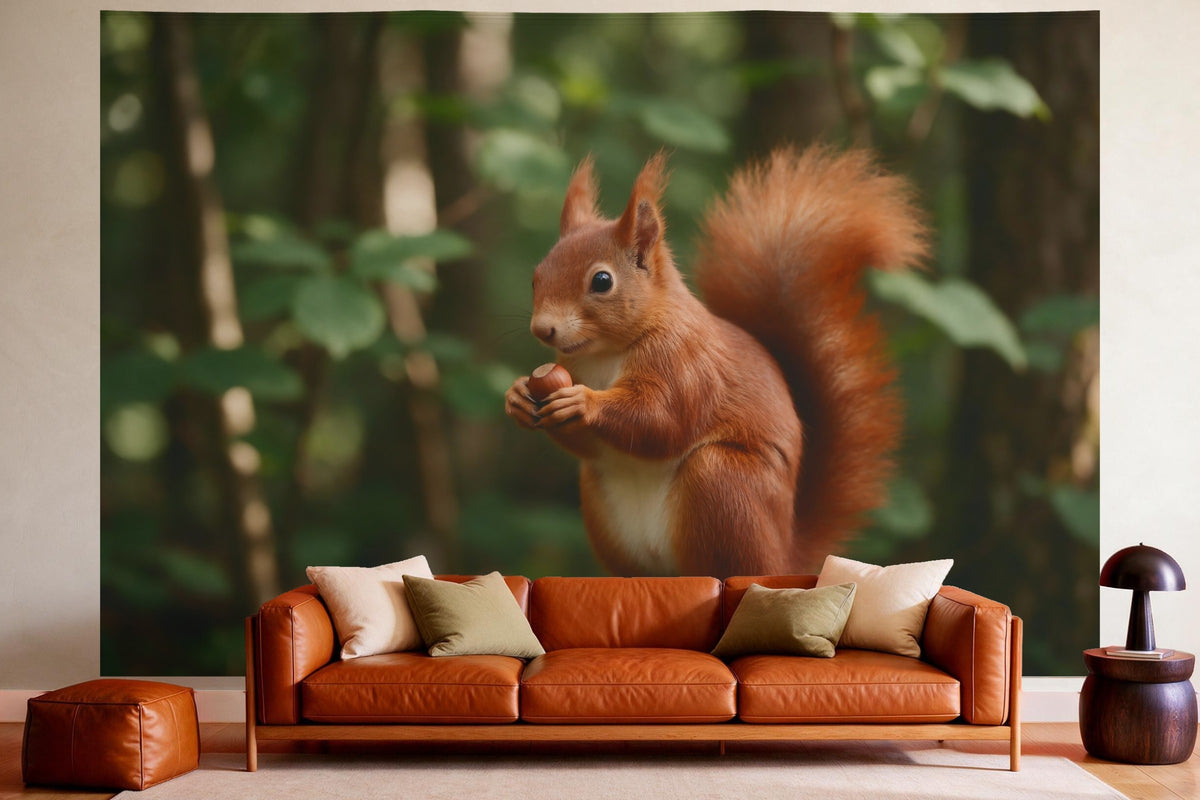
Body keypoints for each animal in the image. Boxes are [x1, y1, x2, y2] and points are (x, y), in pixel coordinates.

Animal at [504, 145, 927, 577]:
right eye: (536, 277)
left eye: (602, 281)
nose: (543, 329)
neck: (606, 352)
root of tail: (784, 558)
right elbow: (588, 444)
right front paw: (518, 396)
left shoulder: (685, 364)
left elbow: (661, 418)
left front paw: (583, 402)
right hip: (604, 506)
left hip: (724, 486)